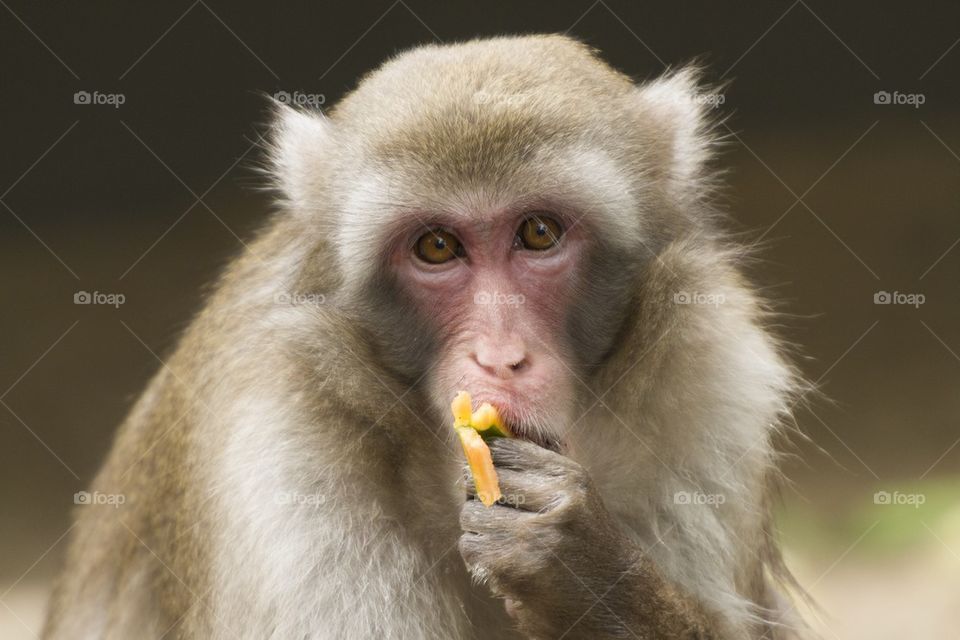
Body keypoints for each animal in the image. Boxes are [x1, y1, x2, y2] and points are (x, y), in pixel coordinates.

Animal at [43, 34, 809, 639]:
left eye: (539, 233)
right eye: (437, 247)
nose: (500, 357)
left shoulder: (709, 378)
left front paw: (587, 574)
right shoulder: (279, 450)